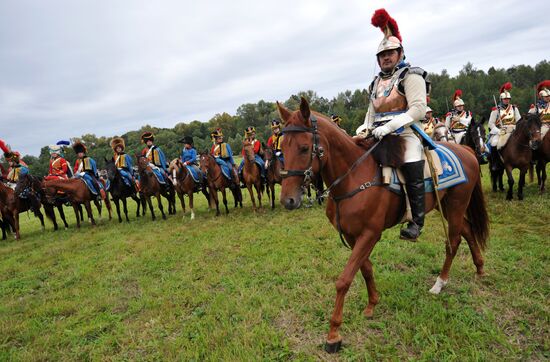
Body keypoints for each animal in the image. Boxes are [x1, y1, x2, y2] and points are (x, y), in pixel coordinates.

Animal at [278, 97, 490, 352]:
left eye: (303, 148)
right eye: (282, 149)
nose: (288, 200)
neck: (353, 176)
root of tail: (467, 151)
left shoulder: (370, 234)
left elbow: (344, 279)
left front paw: (333, 334)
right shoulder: (353, 236)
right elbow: (366, 270)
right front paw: (372, 304)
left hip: (457, 205)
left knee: (454, 241)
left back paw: (440, 283)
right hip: (446, 206)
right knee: (467, 231)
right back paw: (479, 268)